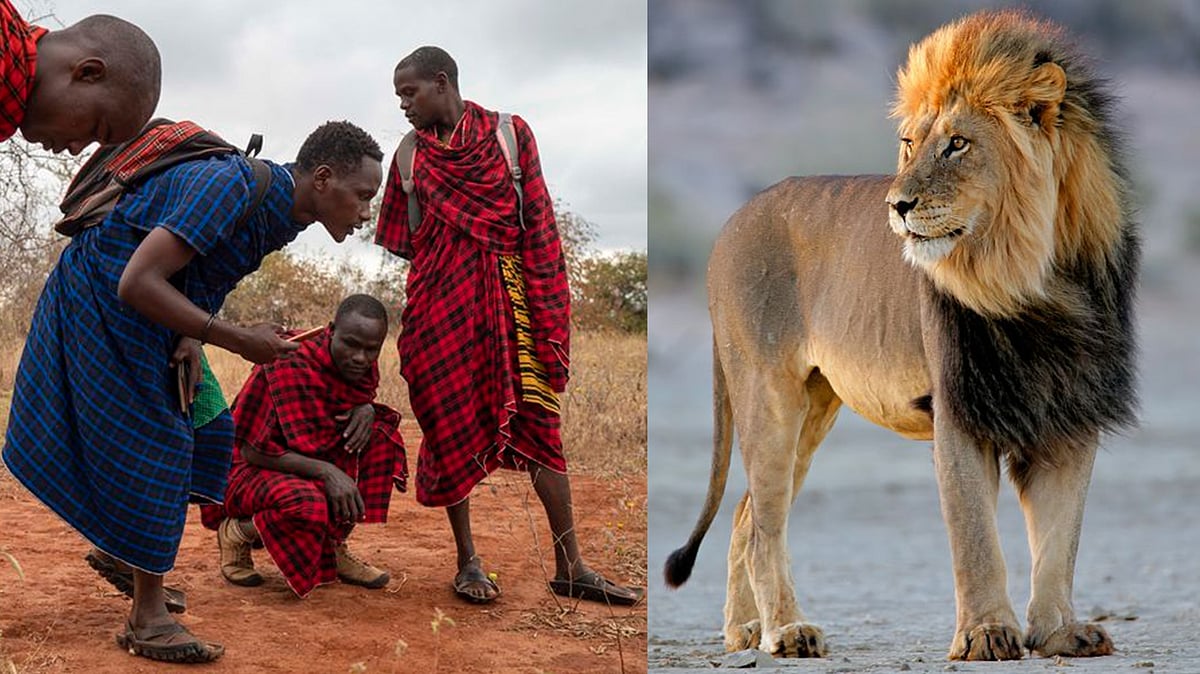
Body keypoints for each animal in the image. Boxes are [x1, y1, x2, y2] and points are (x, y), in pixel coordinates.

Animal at [663, 10, 1137, 662]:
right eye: (911, 144)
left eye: (958, 143)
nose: (897, 204)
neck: (1036, 279)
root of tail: (731, 223)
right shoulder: (959, 410)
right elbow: (975, 536)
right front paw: (986, 634)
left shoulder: (1070, 412)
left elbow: (1060, 539)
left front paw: (1062, 631)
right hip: (768, 393)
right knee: (764, 525)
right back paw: (787, 631)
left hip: (815, 404)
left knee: (746, 514)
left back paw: (745, 632)